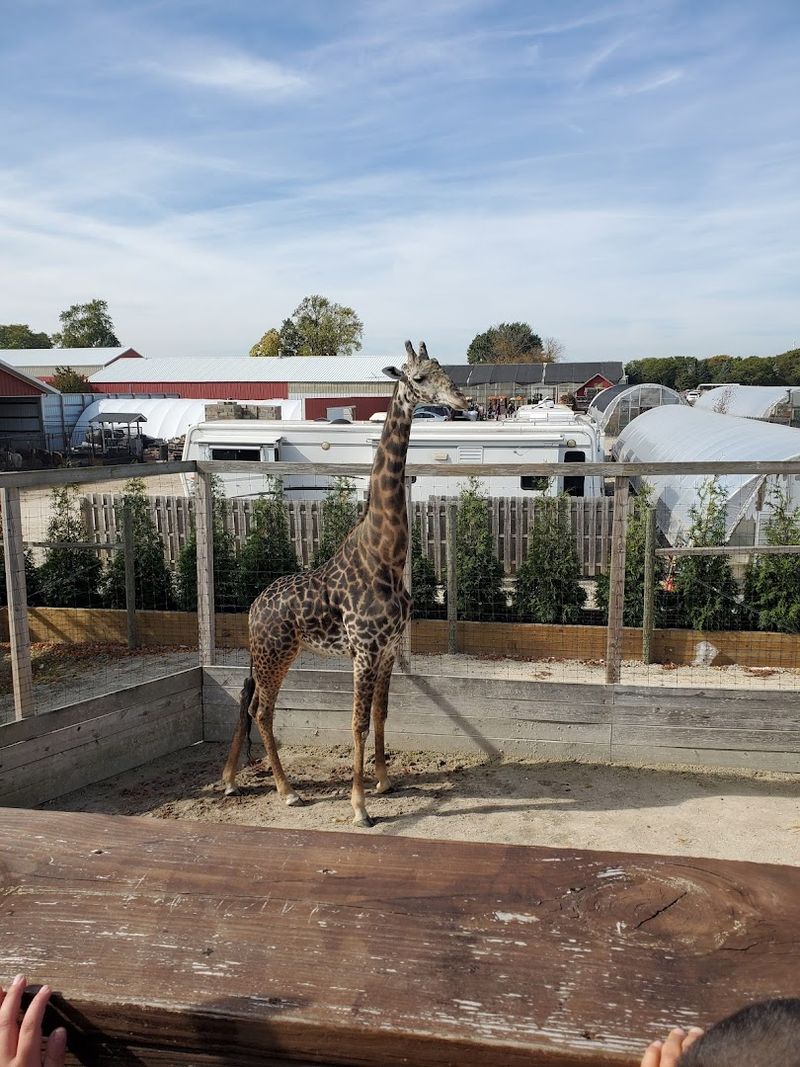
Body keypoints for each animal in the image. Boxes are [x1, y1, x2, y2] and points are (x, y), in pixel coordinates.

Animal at [222, 341, 468, 826]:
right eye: (420, 378)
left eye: (446, 372)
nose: (461, 401)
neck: (384, 556)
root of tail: (254, 608)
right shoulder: (365, 652)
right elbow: (355, 723)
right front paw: (359, 806)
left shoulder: (388, 651)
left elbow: (381, 715)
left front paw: (385, 782)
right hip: (276, 654)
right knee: (262, 710)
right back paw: (287, 792)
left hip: (271, 655)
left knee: (249, 701)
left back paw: (235, 779)